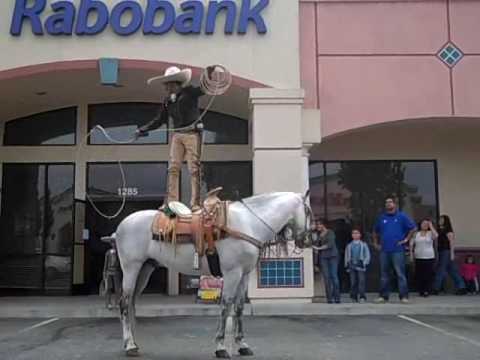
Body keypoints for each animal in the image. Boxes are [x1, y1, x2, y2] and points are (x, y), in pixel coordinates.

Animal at [114, 191, 314, 358]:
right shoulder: (232, 273)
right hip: (131, 268)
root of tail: (121, 226)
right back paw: (130, 346)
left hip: (145, 269)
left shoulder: (244, 275)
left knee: (132, 303)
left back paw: (132, 343)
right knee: (124, 303)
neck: (249, 224)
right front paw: (221, 347)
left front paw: (242, 345)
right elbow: (226, 306)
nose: (306, 240)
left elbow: (239, 307)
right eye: (308, 211)